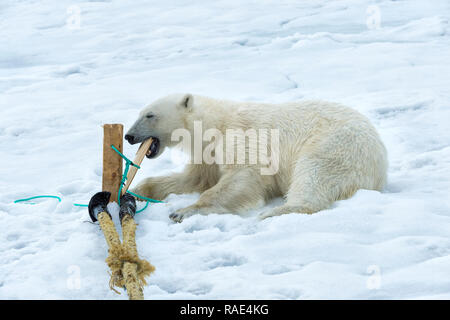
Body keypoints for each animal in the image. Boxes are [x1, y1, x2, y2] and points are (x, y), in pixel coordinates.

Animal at [125, 94, 386, 221]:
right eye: (140, 113)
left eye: (150, 115)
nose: (128, 136)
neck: (214, 124)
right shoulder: (207, 153)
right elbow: (195, 178)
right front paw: (136, 191)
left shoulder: (239, 137)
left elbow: (244, 174)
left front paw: (183, 211)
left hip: (334, 145)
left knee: (314, 174)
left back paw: (275, 212)